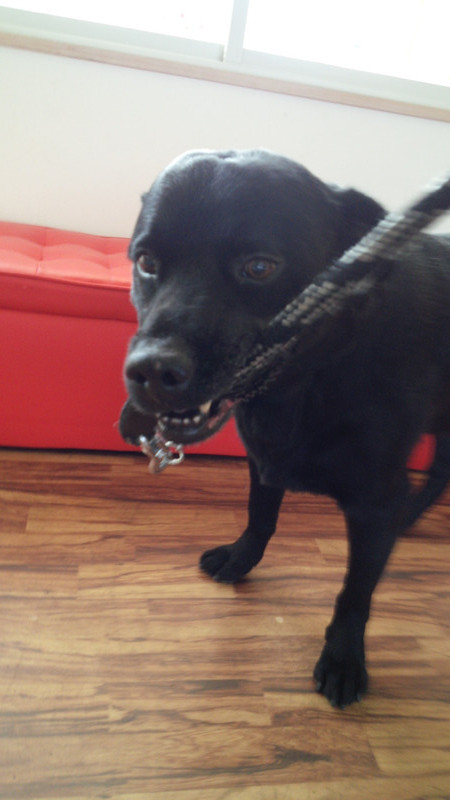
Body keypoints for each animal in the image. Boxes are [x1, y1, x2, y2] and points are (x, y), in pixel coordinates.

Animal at [119, 149, 450, 707]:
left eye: (259, 267)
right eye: (146, 262)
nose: (150, 372)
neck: (316, 377)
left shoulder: (374, 501)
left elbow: (355, 592)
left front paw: (343, 658)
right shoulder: (264, 460)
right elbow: (260, 517)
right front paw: (241, 560)